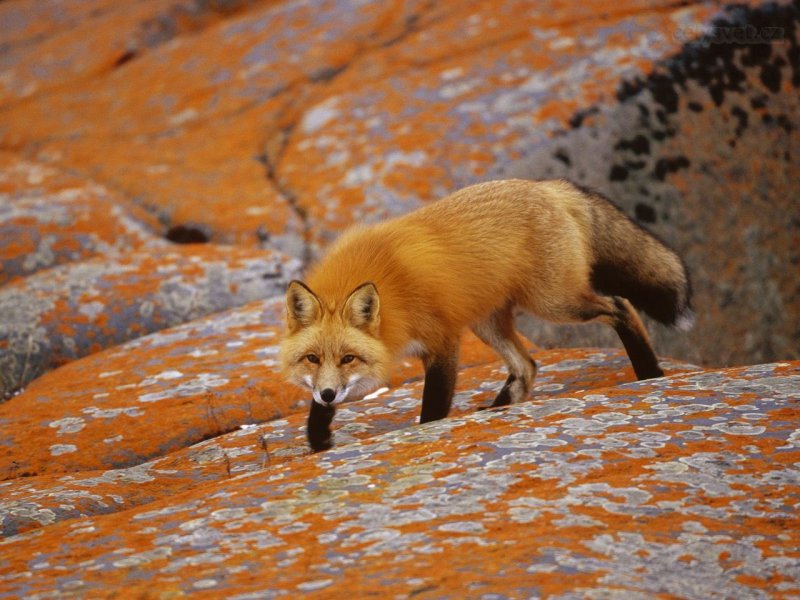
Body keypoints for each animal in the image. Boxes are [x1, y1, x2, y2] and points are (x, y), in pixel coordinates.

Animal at [282, 178, 692, 450]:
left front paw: (427, 432)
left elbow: (434, 405)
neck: (389, 292)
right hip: (488, 322)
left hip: (555, 303)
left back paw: (650, 372)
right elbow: (315, 408)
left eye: (348, 358)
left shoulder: (443, 339)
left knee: (621, 306)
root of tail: (546, 186)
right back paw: (495, 412)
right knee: (527, 366)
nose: (330, 394)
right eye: (312, 358)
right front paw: (318, 437)